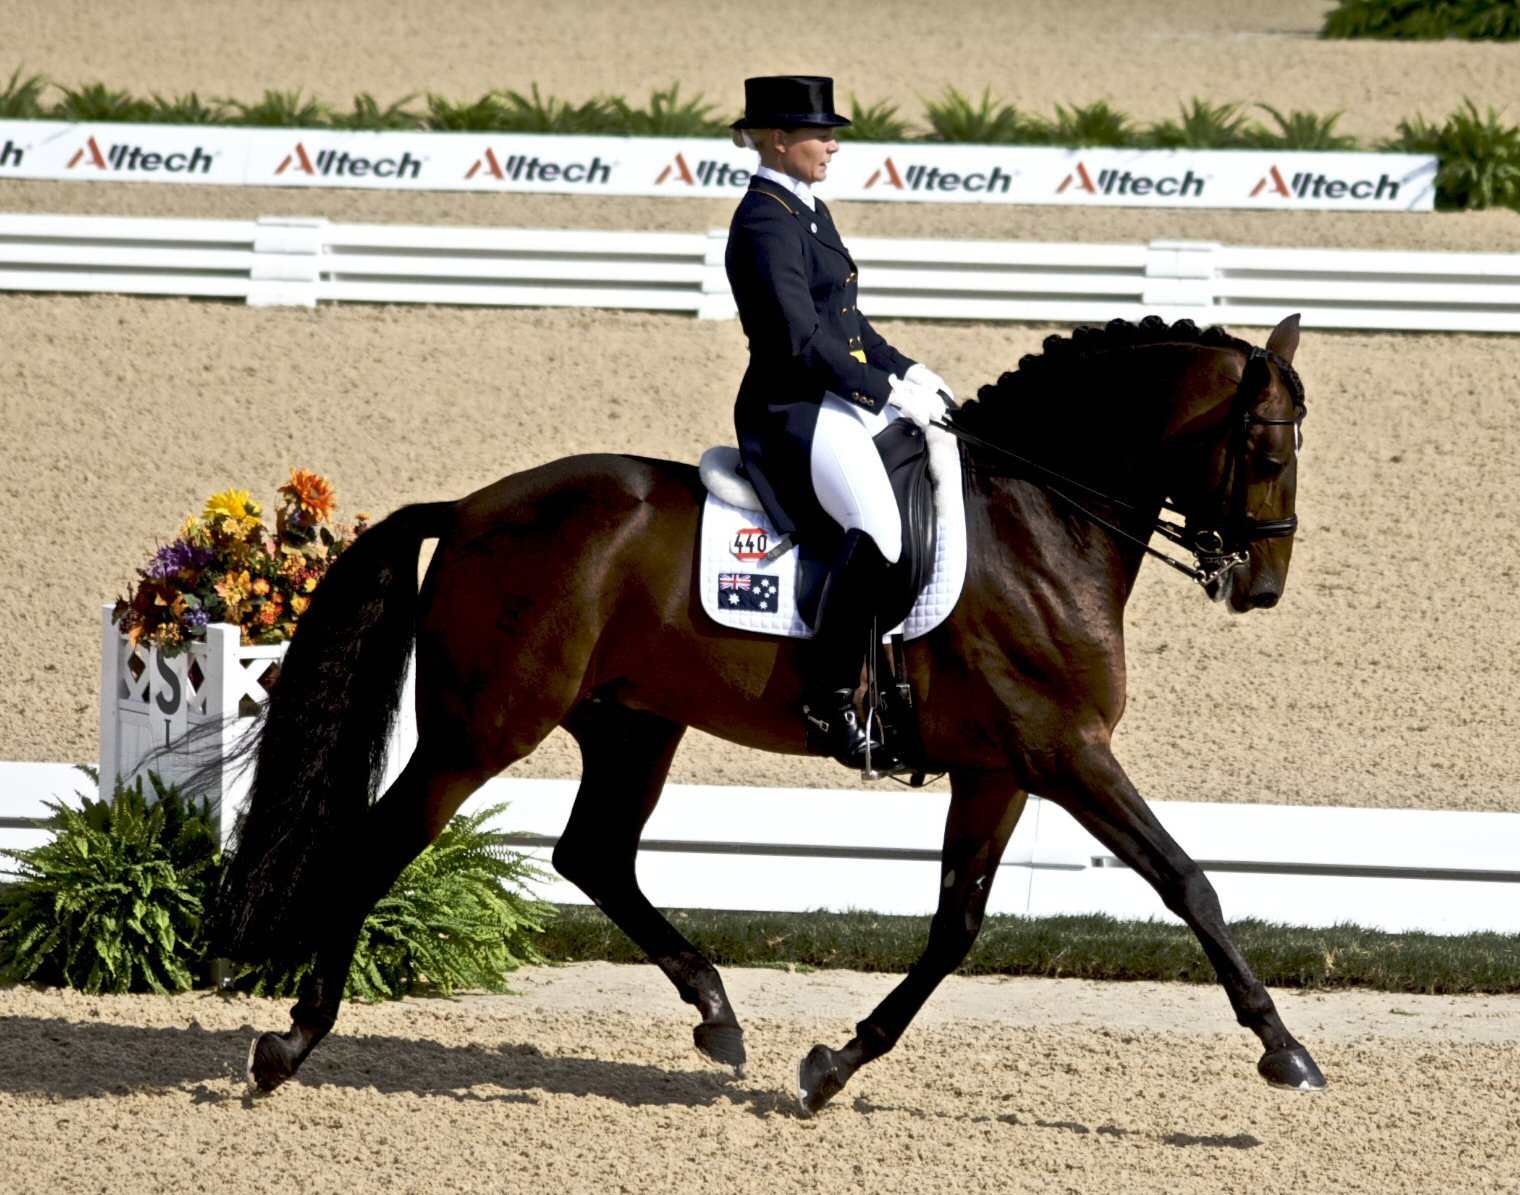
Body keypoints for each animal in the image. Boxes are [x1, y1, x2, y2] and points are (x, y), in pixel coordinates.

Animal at [208, 310, 1325, 1106]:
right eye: (1269, 451)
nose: (1263, 586)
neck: (1038, 519)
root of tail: (476, 508)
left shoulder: (998, 767)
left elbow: (955, 925)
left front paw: (834, 1065)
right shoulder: (1064, 751)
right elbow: (1189, 882)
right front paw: (1285, 1048)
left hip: (632, 723)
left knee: (593, 853)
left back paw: (714, 1010)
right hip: (480, 729)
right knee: (384, 842)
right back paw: (291, 1041)